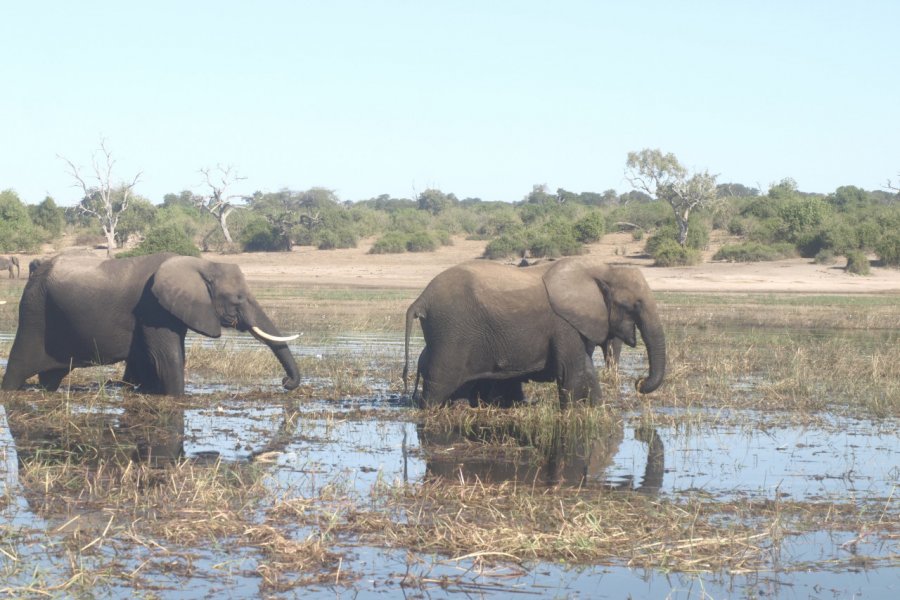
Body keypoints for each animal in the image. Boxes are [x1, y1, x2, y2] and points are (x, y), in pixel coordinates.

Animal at [0, 252, 304, 396]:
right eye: (238, 299)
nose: (285, 382)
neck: (201, 264)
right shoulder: (153, 307)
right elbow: (166, 358)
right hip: (34, 312)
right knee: (17, 368)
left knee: (51, 377)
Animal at [404, 255, 664, 410]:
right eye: (634, 305)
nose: (639, 382)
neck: (601, 269)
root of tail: (421, 299)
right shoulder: (564, 324)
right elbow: (572, 371)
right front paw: (574, 414)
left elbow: (586, 368)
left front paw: (596, 410)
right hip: (450, 333)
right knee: (438, 385)